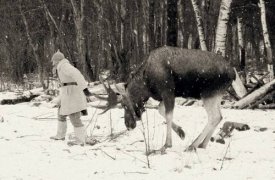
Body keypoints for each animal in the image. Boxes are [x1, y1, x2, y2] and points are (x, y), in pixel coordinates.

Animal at [100, 46, 236, 152]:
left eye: (123, 104)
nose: (128, 125)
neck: (146, 86)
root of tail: (233, 73)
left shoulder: (168, 92)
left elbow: (168, 115)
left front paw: (166, 145)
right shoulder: (166, 95)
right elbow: (160, 110)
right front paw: (181, 132)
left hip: (208, 94)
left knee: (214, 117)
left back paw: (193, 145)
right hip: (217, 95)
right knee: (219, 116)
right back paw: (202, 144)